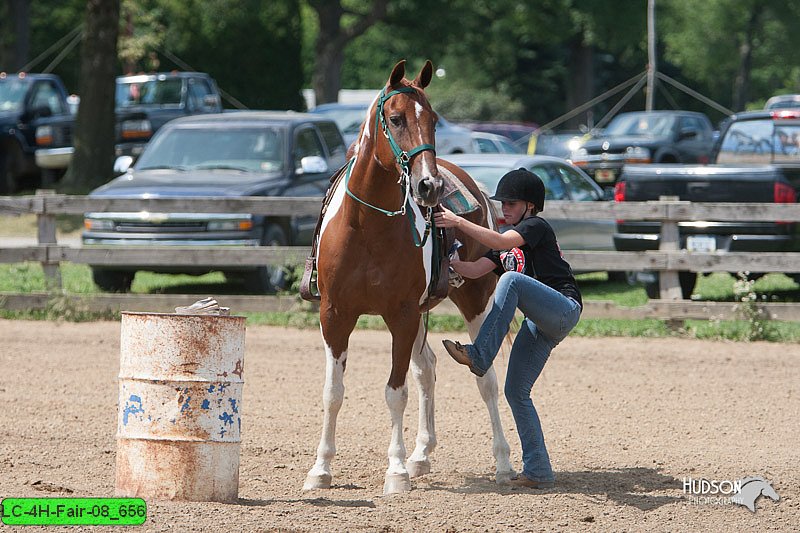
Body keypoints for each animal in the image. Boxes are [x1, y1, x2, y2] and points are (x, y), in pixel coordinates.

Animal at [304, 59, 516, 494]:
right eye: (396, 118)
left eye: (433, 120)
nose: (428, 185)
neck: (366, 226)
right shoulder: (334, 316)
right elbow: (333, 392)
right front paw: (320, 469)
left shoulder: (399, 316)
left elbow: (395, 393)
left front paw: (396, 470)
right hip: (421, 314)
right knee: (428, 369)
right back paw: (422, 454)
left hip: (474, 302)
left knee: (485, 378)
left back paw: (502, 463)